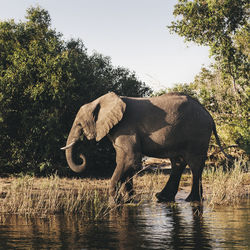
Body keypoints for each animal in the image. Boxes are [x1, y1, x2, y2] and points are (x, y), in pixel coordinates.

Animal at [61, 92, 230, 203]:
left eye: (79, 124)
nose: (82, 157)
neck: (101, 101)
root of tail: (209, 115)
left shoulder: (126, 127)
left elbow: (129, 159)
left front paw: (114, 201)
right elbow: (125, 161)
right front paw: (128, 199)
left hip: (197, 133)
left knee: (194, 164)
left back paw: (191, 200)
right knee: (178, 162)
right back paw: (162, 198)